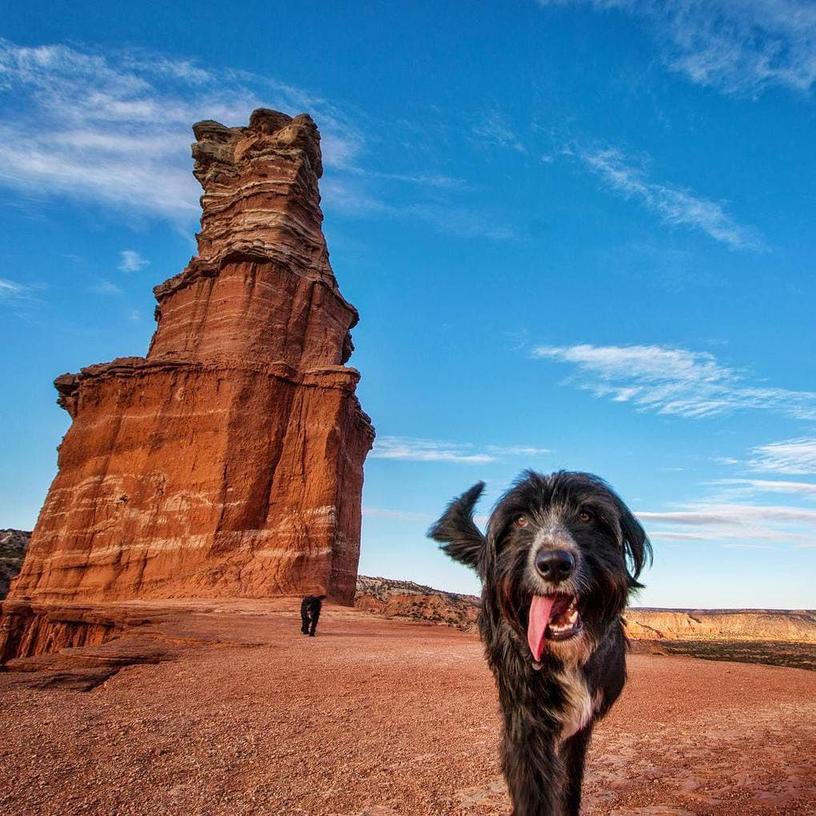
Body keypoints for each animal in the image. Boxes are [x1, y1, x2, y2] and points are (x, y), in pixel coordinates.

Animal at [428, 472, 652, 816]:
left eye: (586, 515)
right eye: (520, 520)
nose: (555, 563)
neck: (563, 656)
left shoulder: (579, 726)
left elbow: (569, 783)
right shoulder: (526, 725)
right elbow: (533, 791)